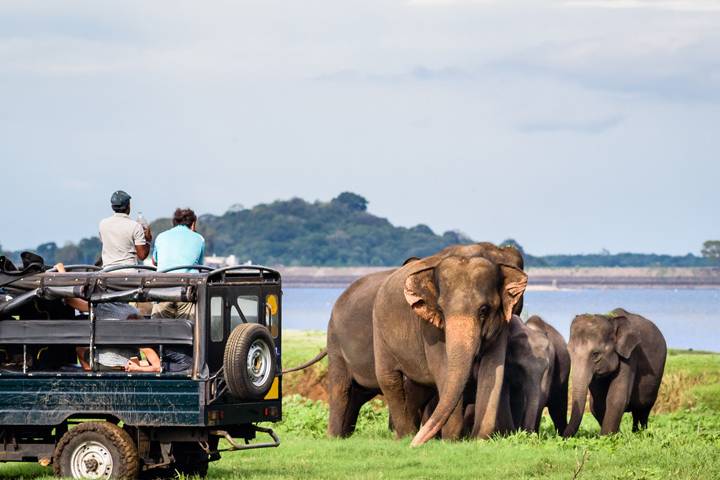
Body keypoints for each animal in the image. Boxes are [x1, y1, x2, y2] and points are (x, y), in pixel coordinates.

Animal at [374, 255, 524, 446]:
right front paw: (451, 441)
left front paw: (478, 440)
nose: (414, 445)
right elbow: (444, 371)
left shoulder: (501, 326)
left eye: (484, 310)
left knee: (417, 387)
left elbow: (492, 372)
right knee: (389, 379)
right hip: (379, 333)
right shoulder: (430, 330)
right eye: (441, 310)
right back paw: (405, 436)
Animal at [564, 308, 668, 438]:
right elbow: (597, 403)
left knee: (643, 409)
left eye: (596, 354)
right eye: (568, 352)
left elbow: (616, 397)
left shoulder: (630, 355)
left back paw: (641, 433)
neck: (611, 320)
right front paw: (615, 435)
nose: (561, 436)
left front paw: (607, 437)